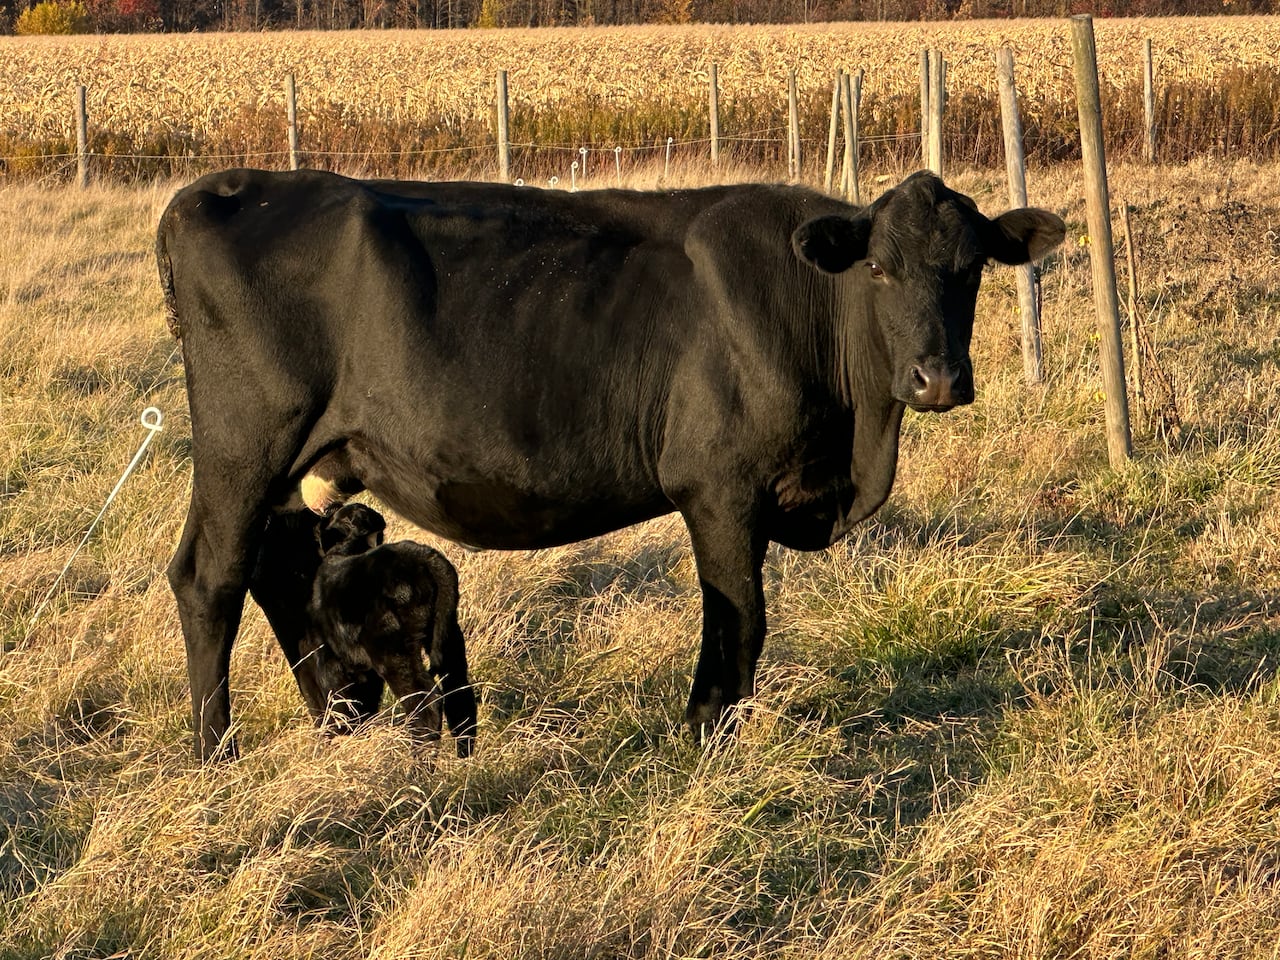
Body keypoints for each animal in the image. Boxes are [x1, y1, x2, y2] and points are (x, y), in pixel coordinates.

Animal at [305, 503, 477, 757]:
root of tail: (426, 559)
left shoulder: (331, 661)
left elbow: (341, 703)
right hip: (449, 638)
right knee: (459, 691)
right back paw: (465, 756)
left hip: (392, 651)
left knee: (425, 701)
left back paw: (419, 761)